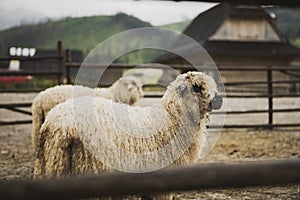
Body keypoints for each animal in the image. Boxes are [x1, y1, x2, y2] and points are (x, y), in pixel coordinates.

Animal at [34, 71, 223, 199]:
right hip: (89, 169)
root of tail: (56, 124)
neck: (171, 119)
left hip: (50, 166)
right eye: (197, 87)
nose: (219, 100)